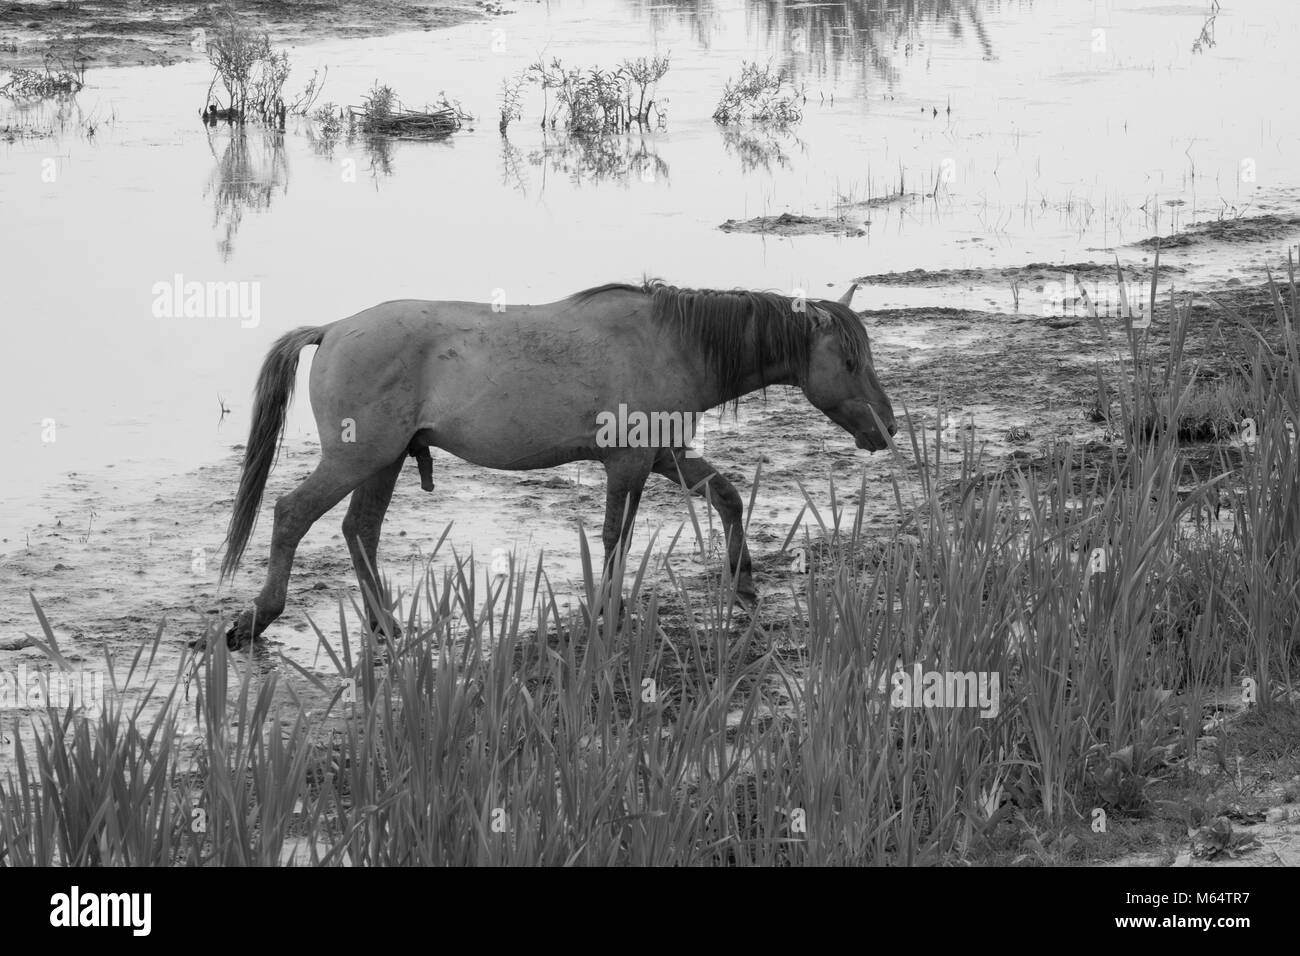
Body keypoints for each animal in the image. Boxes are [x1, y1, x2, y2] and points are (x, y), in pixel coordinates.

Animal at [220, 278, 894, 650]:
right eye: (850, 361)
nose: (887, 428)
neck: (671, 344)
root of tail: (333, 329)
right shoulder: (629, 464)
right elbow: (617, 536)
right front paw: (608, 612)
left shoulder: (664, 455)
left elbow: (726, 495)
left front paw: (746, 579)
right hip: (356, 459)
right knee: (291, 515)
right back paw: (256, 620)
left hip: (381, 464)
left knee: (360, 530)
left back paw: (385, 626)